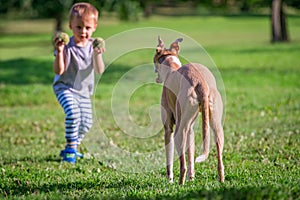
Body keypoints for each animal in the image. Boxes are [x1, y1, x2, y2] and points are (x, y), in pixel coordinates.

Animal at [154, 36, 224, 184]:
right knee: (219, 155)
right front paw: (192, 178)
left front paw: (170, 179)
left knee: (183, 164)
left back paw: (180, 183)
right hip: (216, 126)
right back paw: (221, 179)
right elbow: (191, 154)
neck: (172, 68)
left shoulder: (168, 129)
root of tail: (201, 83)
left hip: (179, 132)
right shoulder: (191, 129)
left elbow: (169, 160)